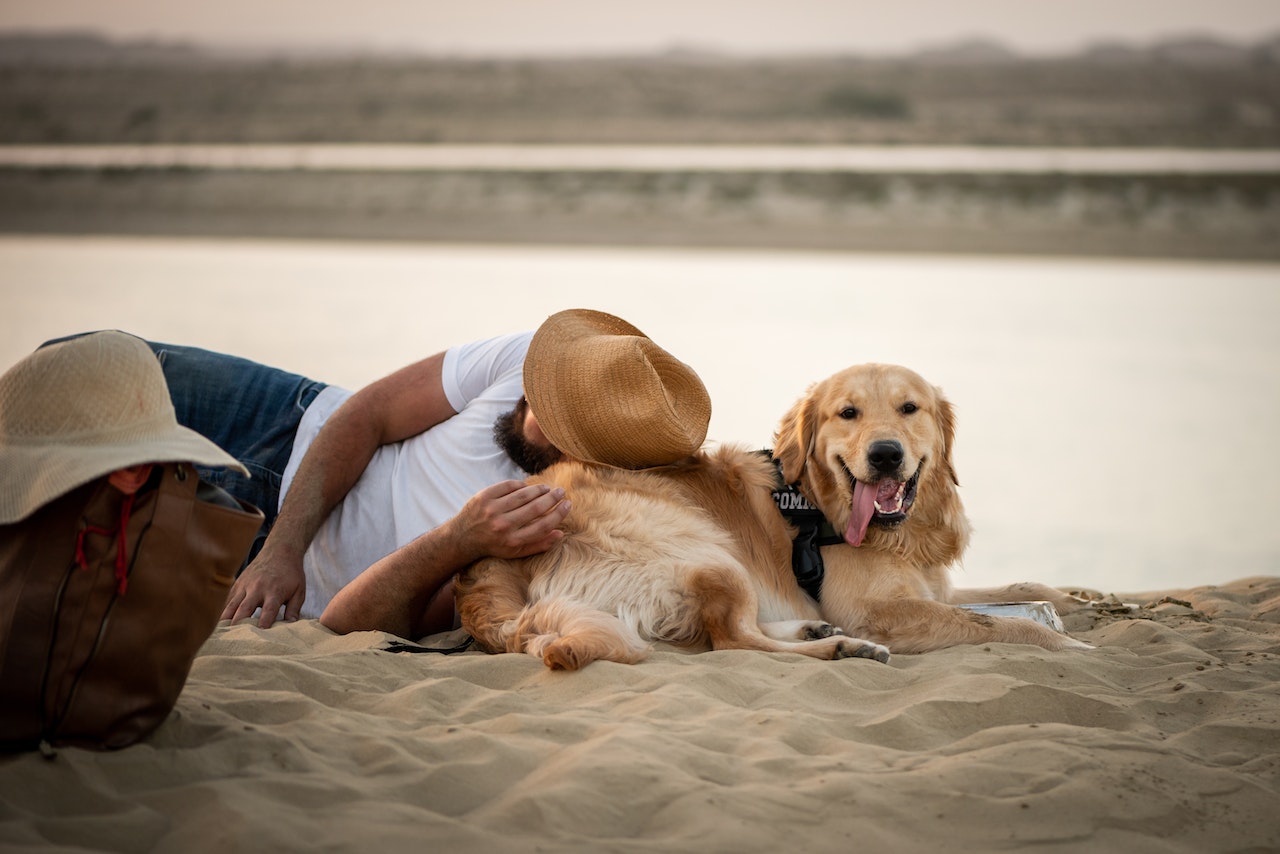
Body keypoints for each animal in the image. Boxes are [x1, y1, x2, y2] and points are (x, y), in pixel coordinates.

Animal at [768, 363, 1090, 655]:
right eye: (848, 412)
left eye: (909, 408)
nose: (885, 454)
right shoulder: (868, 610)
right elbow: (993, 622)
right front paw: (1067, 642)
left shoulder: (936, 589)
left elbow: (1019, 588)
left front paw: (1079, 601)